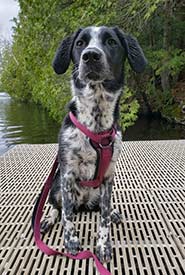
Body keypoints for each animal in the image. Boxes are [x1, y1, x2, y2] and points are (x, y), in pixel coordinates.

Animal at [41, 25, 147, 264]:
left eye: (111, 42)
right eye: (80, 43)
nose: (90, 56)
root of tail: (84, 203)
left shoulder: (108, 177)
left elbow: (104, 217)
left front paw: (103, 245)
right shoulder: (67, 174)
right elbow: (67, 215)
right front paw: (71, 241)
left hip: (98, 191)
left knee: (100, 207)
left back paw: (114, 211)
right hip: (55, 185)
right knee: (56, 206)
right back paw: (47, 219)